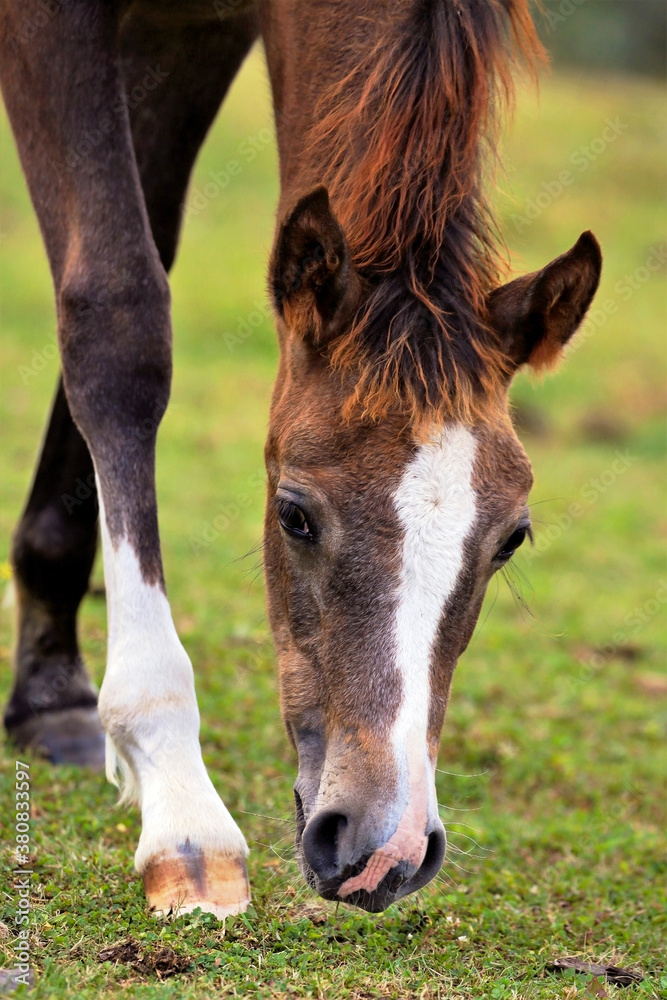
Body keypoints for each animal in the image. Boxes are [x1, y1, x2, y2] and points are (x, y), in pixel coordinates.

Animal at [1, 0, 602, 917]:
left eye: (510, 540)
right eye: (294, 515)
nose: (383, 850)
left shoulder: (200, 32)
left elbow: (137, 249)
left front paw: (47, 690)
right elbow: (115, 310)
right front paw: (181, 809)